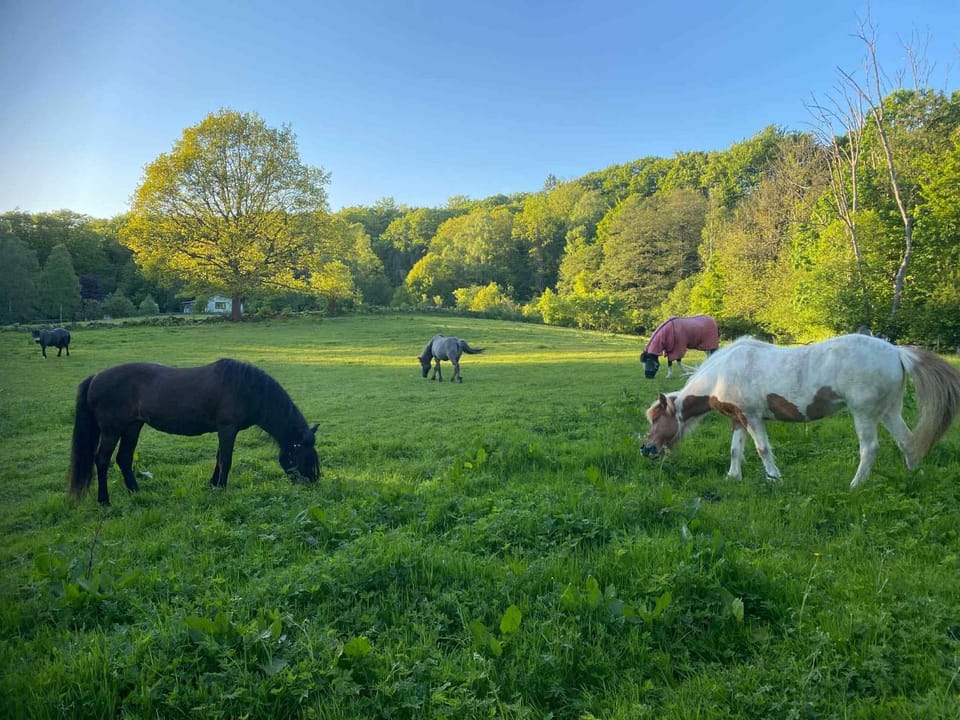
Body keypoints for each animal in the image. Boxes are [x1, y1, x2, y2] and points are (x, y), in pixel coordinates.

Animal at [68, 359, 320, 505]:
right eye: (305, 455)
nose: (314, 483)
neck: (246, 388)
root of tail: (95, 377)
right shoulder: (227, 429)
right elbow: (226, 460)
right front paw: (222, 490)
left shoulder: (224, 431)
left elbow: (218, 459)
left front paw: (213, 485)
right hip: (112, 431)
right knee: (102, 461)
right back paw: (104, 500)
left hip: (132, 428)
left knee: (124, 459)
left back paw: (136, 492)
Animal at [640, 334, 960, 489]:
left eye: (657, 418)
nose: (646, 449)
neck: (723, 372)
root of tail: (896, 352)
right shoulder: (739, 419)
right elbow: (735, 450)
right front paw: (733, 477)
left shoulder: (753, 417)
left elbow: (762, 450)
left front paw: (774, 479)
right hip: (889, 411)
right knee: (908, 441)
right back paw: (913, 476)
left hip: (865, 414)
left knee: (870, 449)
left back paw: (855, 485)